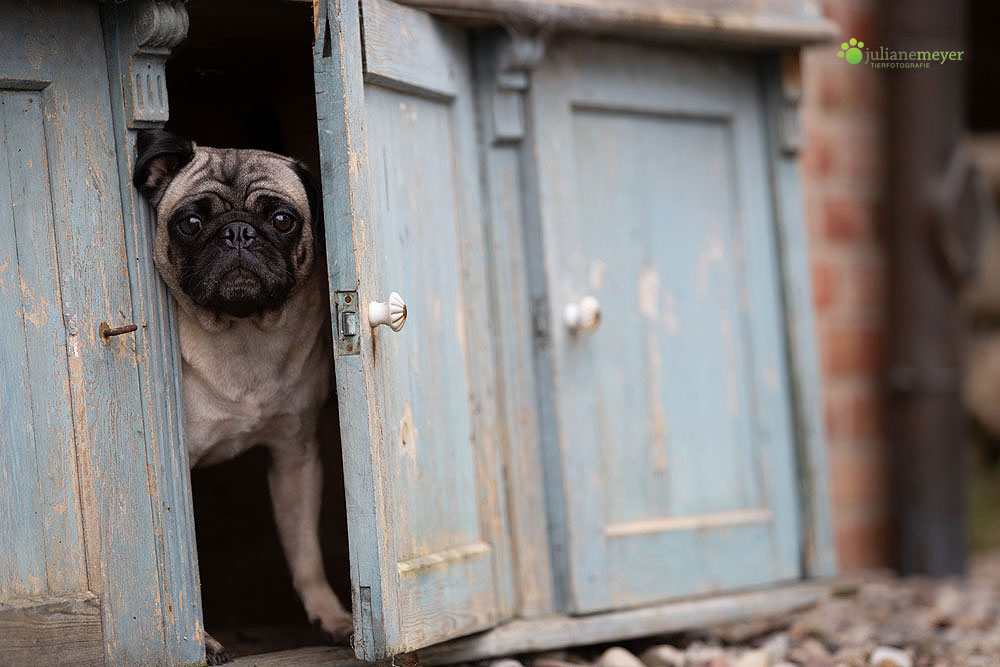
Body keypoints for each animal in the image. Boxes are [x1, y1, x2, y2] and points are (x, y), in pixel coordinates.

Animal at [133, 129, 352, 664]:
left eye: (282, 219)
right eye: (190, 224)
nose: (238, 233)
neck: (242, 331)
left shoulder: (296, 457)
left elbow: (305, 552)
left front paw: (331, 616)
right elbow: (191, 574)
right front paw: (204, 640)